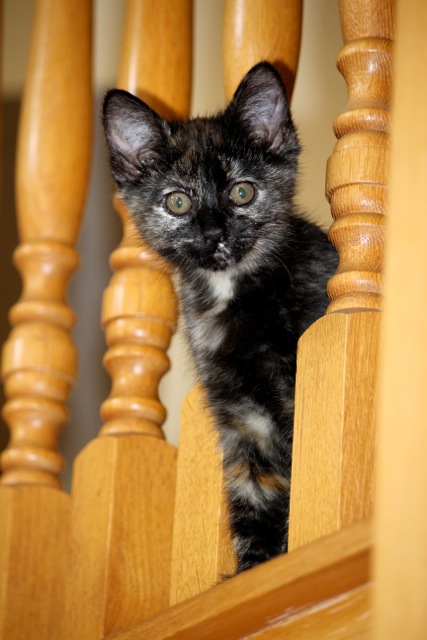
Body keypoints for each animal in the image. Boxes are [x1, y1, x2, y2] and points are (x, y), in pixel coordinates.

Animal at [103, 63, 338, 576]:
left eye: (241, 192)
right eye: (178, 202)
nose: (213, 232)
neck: (231, 291)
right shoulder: (241, 420)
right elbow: (251, 495)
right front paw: (253, 569)